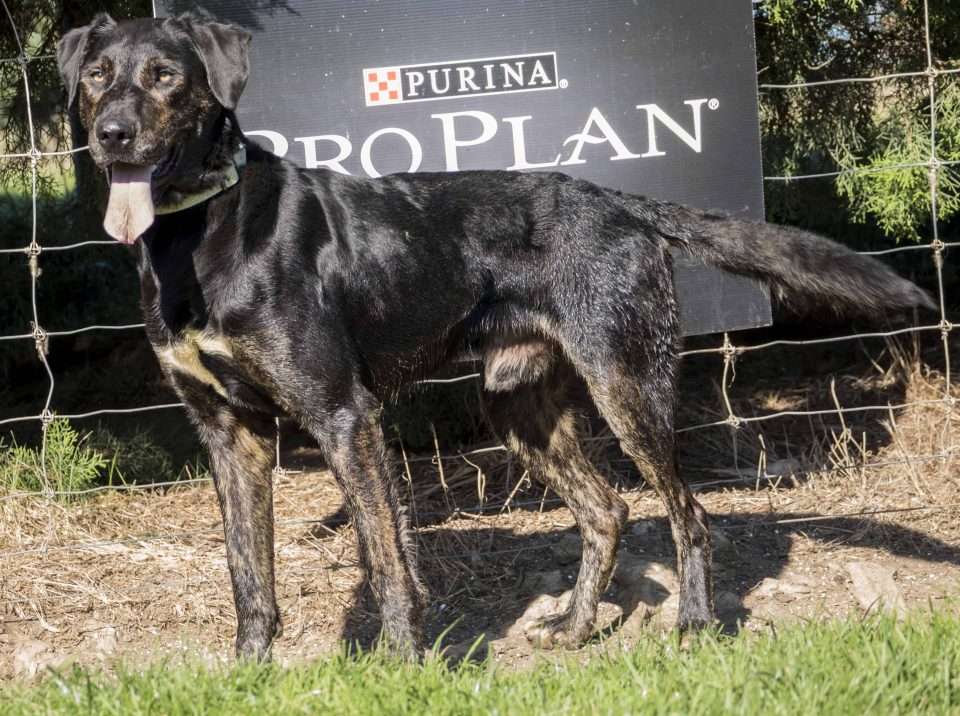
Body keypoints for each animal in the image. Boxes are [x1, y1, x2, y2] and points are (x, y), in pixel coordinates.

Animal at [57, 13, 933, 660]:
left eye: (166, 76)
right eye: (97, 76)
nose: (113, 133)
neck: (200, 231)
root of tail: (624, 204)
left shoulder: (343, 415)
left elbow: (387, 562)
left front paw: (401, 669)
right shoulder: (228, 431)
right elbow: (248, 573)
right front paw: (250, 672)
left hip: (626, 383)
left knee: (687, 511)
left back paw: (692, 625)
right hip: (520, 407)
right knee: (608, 510)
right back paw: (575, 630)